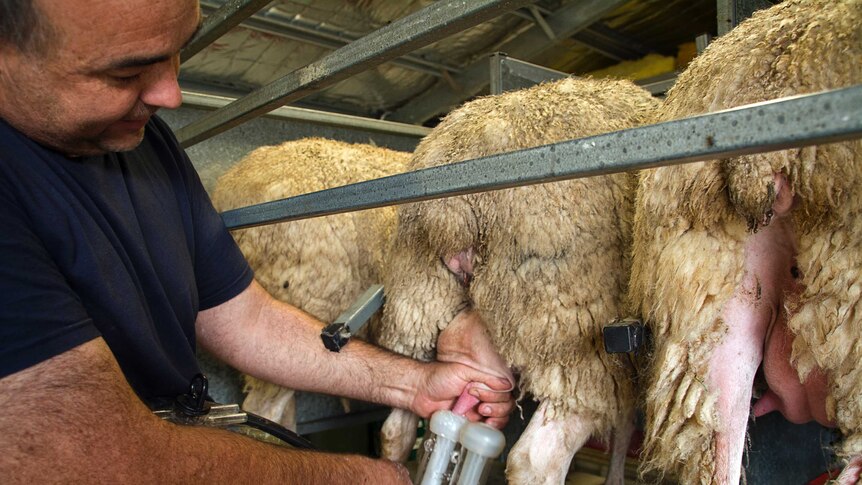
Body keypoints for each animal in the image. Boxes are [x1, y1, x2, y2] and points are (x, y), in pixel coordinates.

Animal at [374, 77, 660, 482]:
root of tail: (451, 210)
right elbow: (624, 424)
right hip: (571, 329)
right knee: (535, 458)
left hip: (417, 301)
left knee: (397, 429)